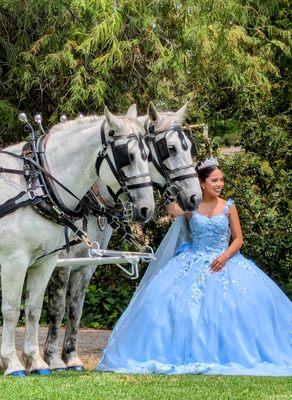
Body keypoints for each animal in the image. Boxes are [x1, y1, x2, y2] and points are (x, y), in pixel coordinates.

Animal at [0, 108, 155, 376]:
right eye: (128, 156)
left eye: (149, 155)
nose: (147, 208)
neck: (36, 184)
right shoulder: (14, 260)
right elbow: (11, 311)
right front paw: (12, 363)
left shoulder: (45, 261)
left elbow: (34, 309)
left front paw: (36, 360)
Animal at [44, 104, 203, 372]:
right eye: (169, 149)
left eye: (189, 147)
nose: (195, 197)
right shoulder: (62, 263)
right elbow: (57, 307)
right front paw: (52, 359)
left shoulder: (86, 265)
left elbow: (76, 307)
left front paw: (71, 358)